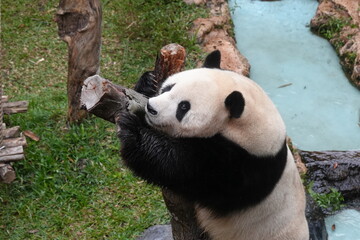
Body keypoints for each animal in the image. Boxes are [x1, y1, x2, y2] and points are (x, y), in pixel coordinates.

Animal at [119, 51, 310, 240]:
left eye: (183, 107)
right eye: (168, 88)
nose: (151, 108)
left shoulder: (242, 166)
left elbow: (180, 166)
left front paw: (133, 130)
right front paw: (148, 82)